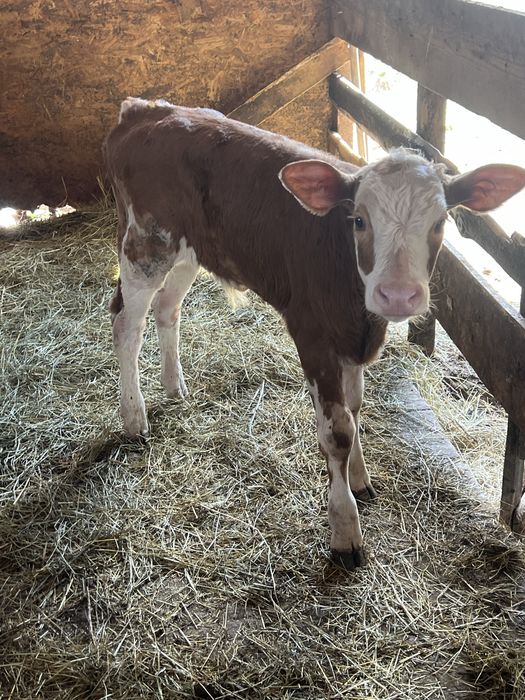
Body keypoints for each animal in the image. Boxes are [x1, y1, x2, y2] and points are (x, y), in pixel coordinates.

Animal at [104, 98, 525, 570]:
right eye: (358, 220)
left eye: (440, 223)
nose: (398, 295)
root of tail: (145, 109)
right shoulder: (312, 334)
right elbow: (337, 432)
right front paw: (345, 530)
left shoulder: (353, 340)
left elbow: (355, 412)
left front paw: (360, 480)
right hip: (144, 245)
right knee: (127, 326)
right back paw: (134, 418)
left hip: (188, 248)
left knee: (168, 308)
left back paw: (174, 386)